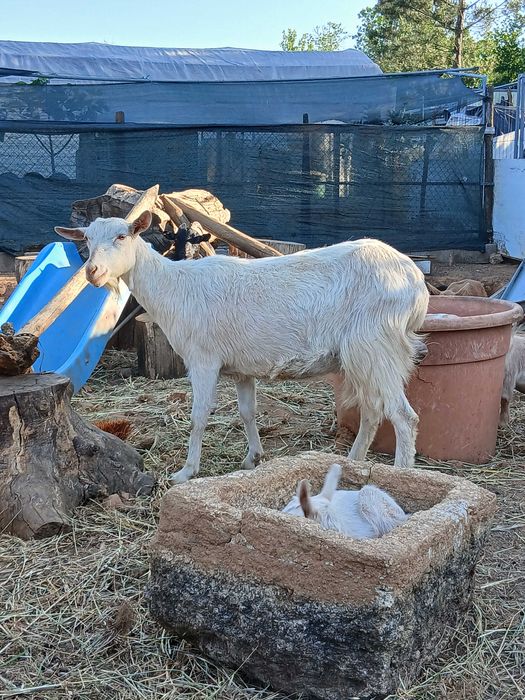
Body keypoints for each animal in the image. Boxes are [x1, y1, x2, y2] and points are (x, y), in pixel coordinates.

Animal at [55, 211, 428, 483]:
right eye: (87, 239)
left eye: (122, 236)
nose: (92, 271)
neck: (173, 288)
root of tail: (417, 283)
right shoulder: (241, 368)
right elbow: (248, 412)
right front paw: (253, 458)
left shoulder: (203, 359)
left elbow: (199, 416)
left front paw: (186, 472)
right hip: (365, 355)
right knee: (373, 410)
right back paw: (353, 461)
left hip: (376, 344)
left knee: (403, 415)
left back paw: (403, 474)